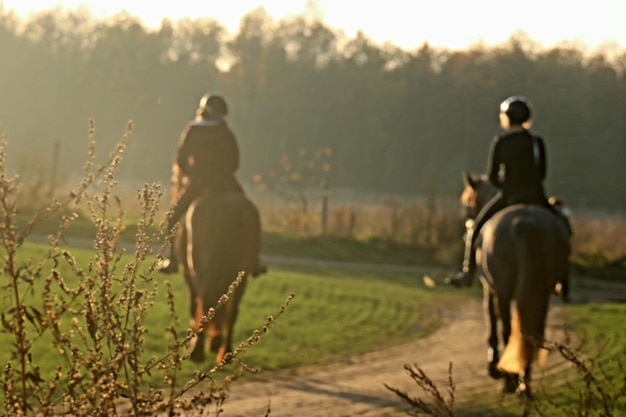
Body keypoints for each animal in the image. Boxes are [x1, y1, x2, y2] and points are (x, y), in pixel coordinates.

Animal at [458, 171, 572, 396]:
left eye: (467, 202)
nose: (468, 229)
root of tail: (525, 223)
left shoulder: (490, 289)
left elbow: (492, 322)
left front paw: (494, 367)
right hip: (541, 293)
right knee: (532, 334)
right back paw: (524, 384)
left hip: (503, 291)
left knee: (508, 330)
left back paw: (509, 379)